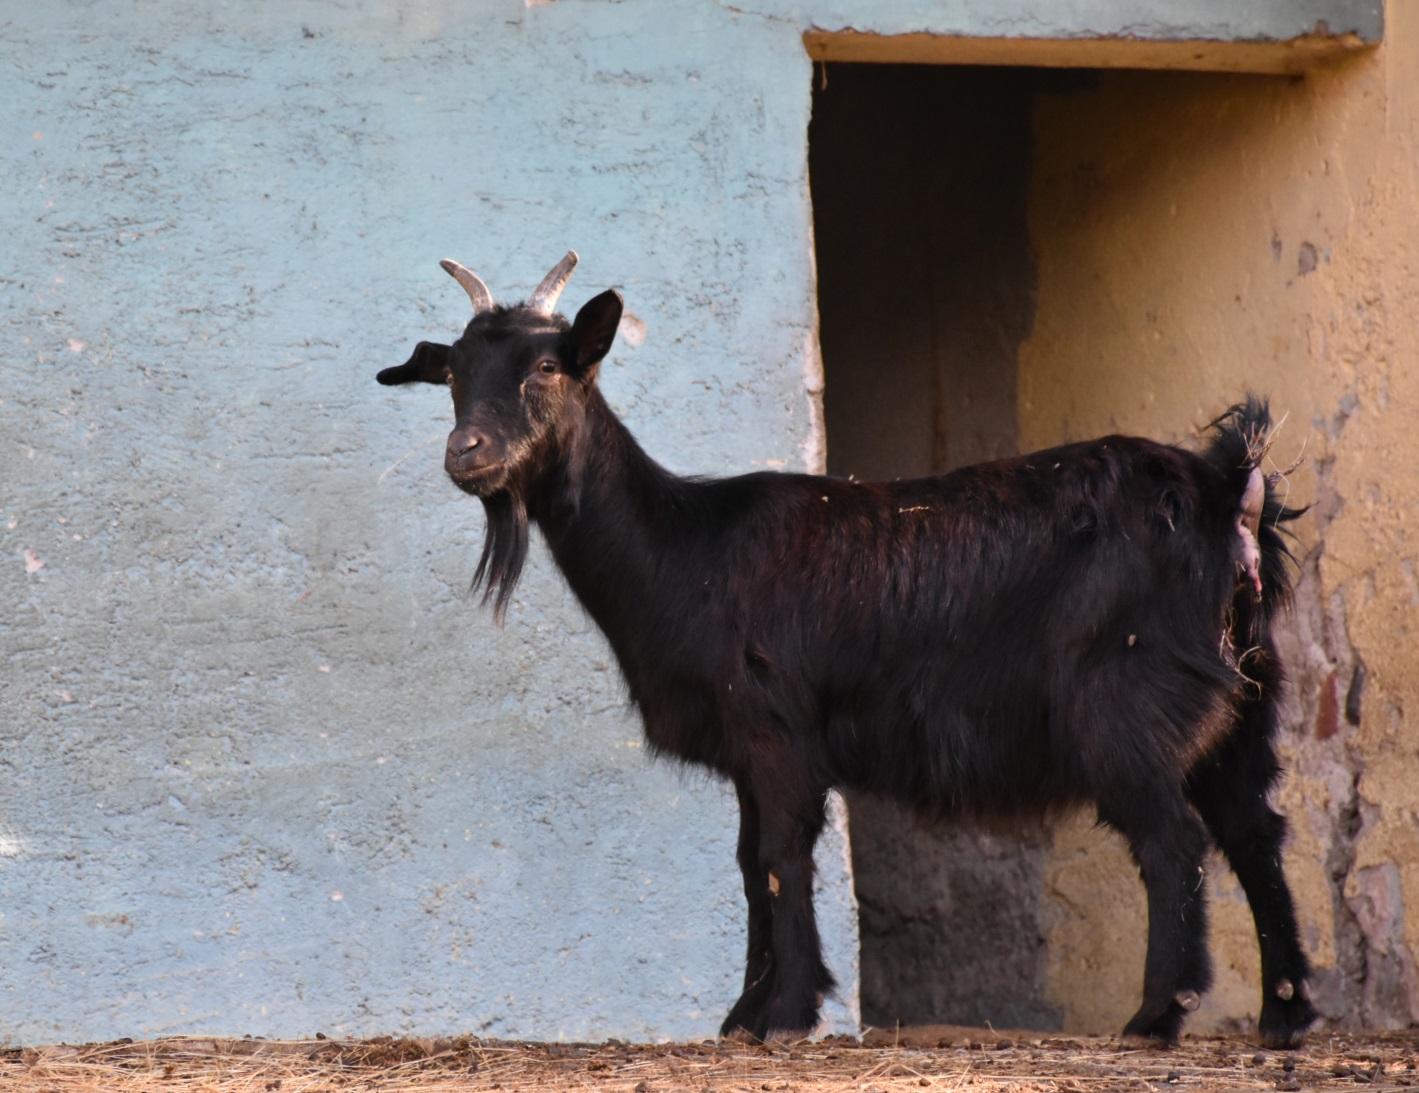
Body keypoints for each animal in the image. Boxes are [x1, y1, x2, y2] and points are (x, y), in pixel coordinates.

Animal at [380, 251, 1316, 1044]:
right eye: (453, 373)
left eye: (546, 366)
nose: (466, 453)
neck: (683, 547)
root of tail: (1226, 490)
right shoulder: (750, 748)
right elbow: (747, 863)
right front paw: (744, 1014)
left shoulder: (775, 732)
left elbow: (779, 858)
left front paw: (787, 1012)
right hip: (1242, 700)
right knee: (1254, 829)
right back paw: (1286, 1012)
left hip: (1125, 702)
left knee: (1172, 838)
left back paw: (1158, 1014)